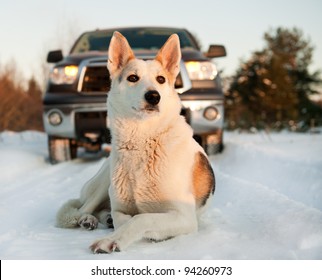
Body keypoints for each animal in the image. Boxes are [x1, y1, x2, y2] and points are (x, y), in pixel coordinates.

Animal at [56, 31, 215, 254]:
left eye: (160, 79)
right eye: (133, 78)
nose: (153, 96)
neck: (142, 142)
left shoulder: (184, 216)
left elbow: (141, 218)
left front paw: (112, 239)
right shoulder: (121, 208)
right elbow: (126, 219)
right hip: (105, 182)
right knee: (85, 208)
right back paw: (88, 219)